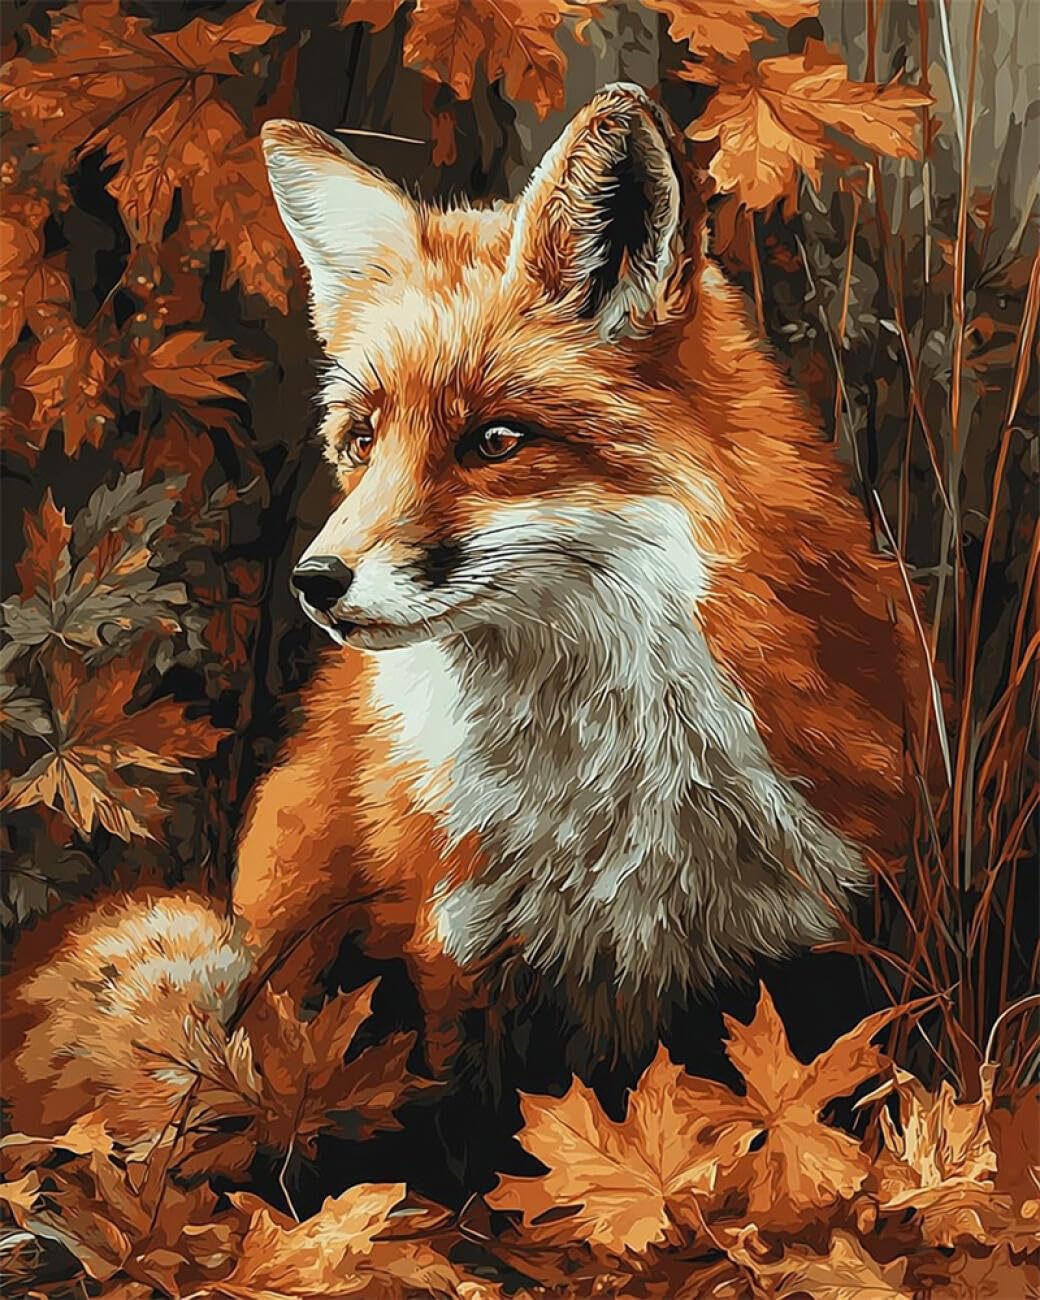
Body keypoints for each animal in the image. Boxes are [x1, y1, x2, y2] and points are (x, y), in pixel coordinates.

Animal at [5, 85, 929, 1150]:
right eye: (362, 440)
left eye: (493, 441)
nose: (315, 580)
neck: (611, 787)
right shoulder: (460, 953)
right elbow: (476, 1147)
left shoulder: (824, 936)